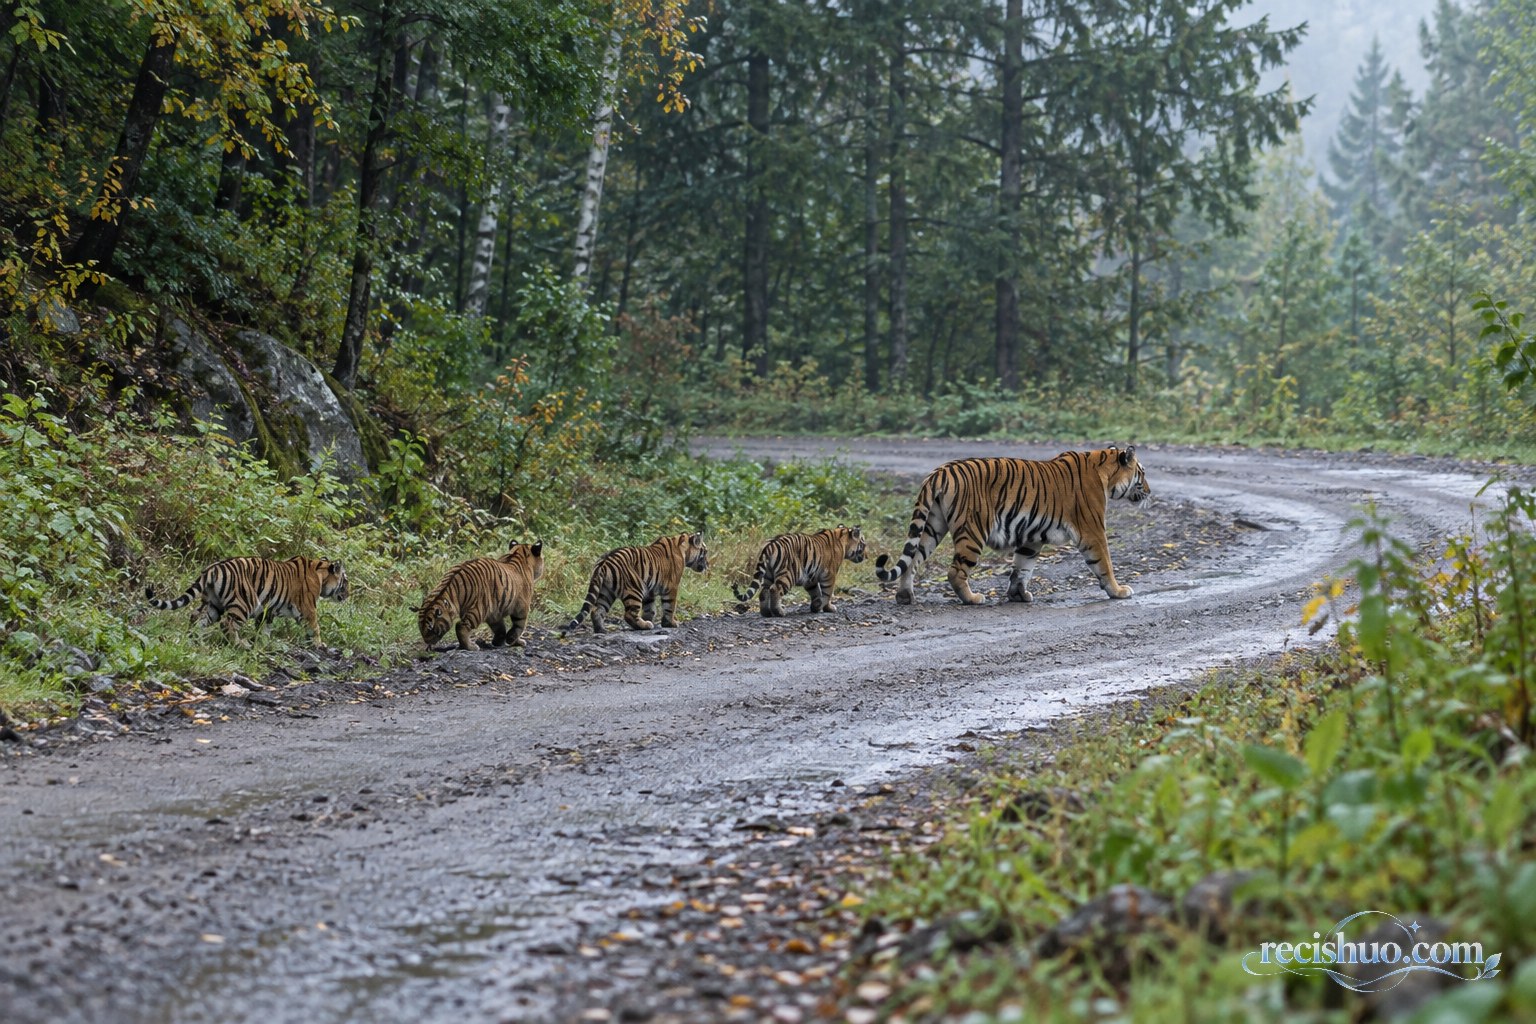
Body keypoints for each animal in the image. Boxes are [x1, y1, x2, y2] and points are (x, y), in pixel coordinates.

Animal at [146, 556, 349, 647]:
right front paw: (319, 644)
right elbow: (315, 627)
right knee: (227, 624)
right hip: (244, 602)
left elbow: (265, 627)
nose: (348, 595)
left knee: (196, 615)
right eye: (345, 582)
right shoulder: (308, 608)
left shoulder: (267, 610)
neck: (320, 572)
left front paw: (264, 642)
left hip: (213, 604)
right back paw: (240, 644)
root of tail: (212, 568)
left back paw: (195, 639)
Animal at [415, 541, 545, 651]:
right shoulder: (522, 607)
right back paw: (471, 647)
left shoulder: (495, 612)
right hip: (478, 610)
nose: (428, 640)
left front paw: (499, 641)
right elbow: (519, 626)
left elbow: (500, 628)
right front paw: (514, 641)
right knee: (461, 626)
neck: (518, 554)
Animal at [563, 531, 709, 634]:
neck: (683, 547)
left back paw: (601, 630)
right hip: (634, 588)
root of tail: (604, 561)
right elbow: (670, 607)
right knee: (629, 614)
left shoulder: (650, 590)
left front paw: (649, 618)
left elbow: (650, 608)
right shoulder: (671, 587)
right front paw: (670, 623)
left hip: (606, 591)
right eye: (705, 552)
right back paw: (644, 626)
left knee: (596, 610)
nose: (708, 565)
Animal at [733, 525, 867, 617]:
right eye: (863, 545)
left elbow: (816, 592)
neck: (842, 538)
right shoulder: (829, 575)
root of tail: (771, 545)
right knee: (775, 589)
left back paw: (766, 613)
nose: (867, 556)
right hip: (789, 574)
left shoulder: (811, 578)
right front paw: (828, 607)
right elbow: (827, 593)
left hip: (768, 575)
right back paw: (779, 612)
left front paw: (816, 606)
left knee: (764, 591)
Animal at [875, 446, 1150, 606]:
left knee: (912, 560)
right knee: (955, 571)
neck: (1105, 470)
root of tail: (939, 472)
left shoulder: (1032, 538)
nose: (1149, 491)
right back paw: (972, 598)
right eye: (1143, 472)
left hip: (932, 526)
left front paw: (1018, 595)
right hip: (973, 530)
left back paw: (905, 597)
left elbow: (1022, 567)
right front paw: (1118, 591)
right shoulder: (1093, 531)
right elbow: (1105, 563)